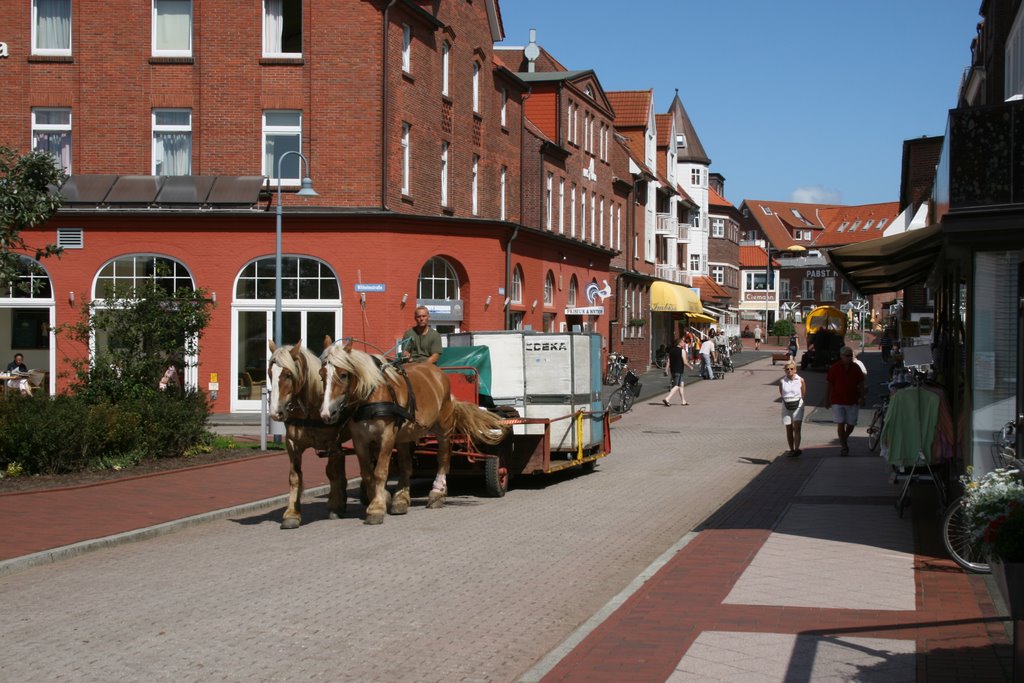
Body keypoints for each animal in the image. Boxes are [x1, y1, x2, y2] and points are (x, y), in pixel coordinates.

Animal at [268, 339, 352, 528]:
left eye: (288, 374)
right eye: (270, 373)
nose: (275, 413)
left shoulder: (332, 443)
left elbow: (332, 472)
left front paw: (335, 506)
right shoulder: (293, 444)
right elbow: (294, 476)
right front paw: (292, 514)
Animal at [317, 339, 505, 528]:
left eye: (343, 375)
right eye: (321, 374)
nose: (326, 413)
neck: (370, 396)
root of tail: (439, 373)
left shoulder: (387, 436)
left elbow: (380, 472)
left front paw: (376, 508)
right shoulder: (360, 440)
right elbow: (368, 474)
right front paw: (381, 499)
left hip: (443, 428)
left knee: (443, 458)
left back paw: (437, 493)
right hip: (406, 434)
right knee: (406, 465)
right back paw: (401, 499)